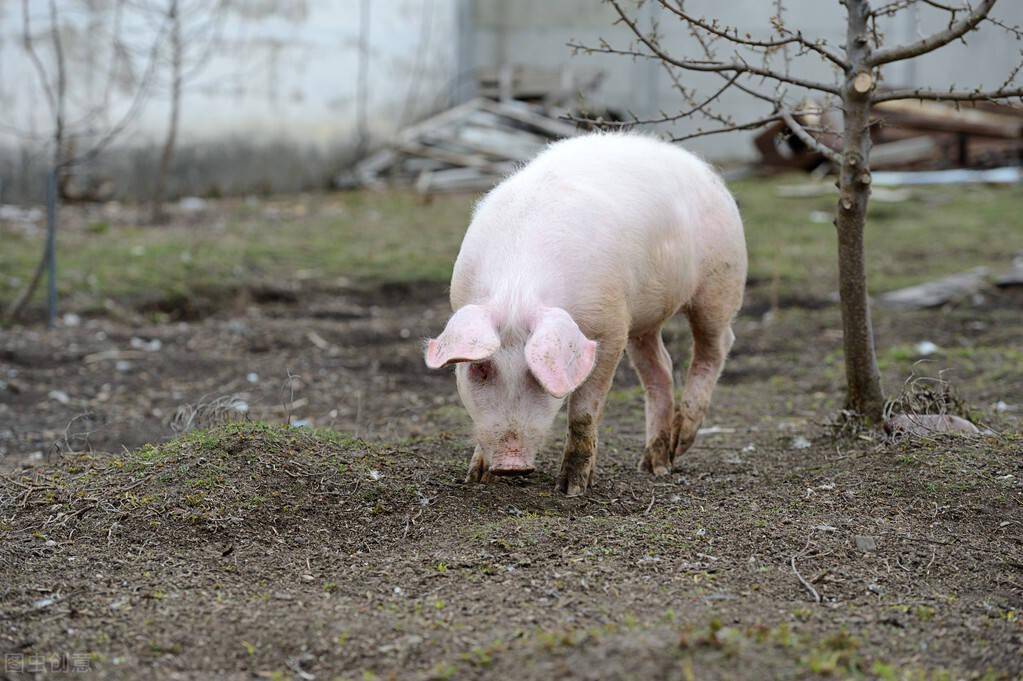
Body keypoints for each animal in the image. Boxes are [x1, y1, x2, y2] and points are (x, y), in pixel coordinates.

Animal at [423, 130, 744, 492]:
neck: (518, 289)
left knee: (715, 347)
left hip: (722, 280)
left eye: (537, 374)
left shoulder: (610, 326)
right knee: (661, 366)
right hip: (642, 317)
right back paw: (655, 466)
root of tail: (705, 170)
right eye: (480, 369)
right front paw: (477, 477)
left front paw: (572, 488)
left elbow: (584, 412)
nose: (511, 465)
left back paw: (681, 441)